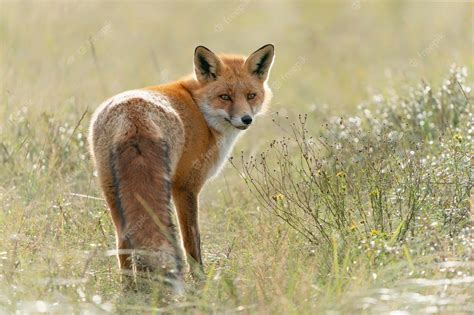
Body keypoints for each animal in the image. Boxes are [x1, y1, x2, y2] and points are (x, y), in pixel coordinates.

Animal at [88, 43, 274, 288]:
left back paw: (129, 289)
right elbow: (192, 241)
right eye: (224, 97)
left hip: (110, 190)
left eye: (251, 96)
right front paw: (200, 282)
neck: (200, 109)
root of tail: (131, 118)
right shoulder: (186, 186)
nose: (246, 119)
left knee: (123, 242)